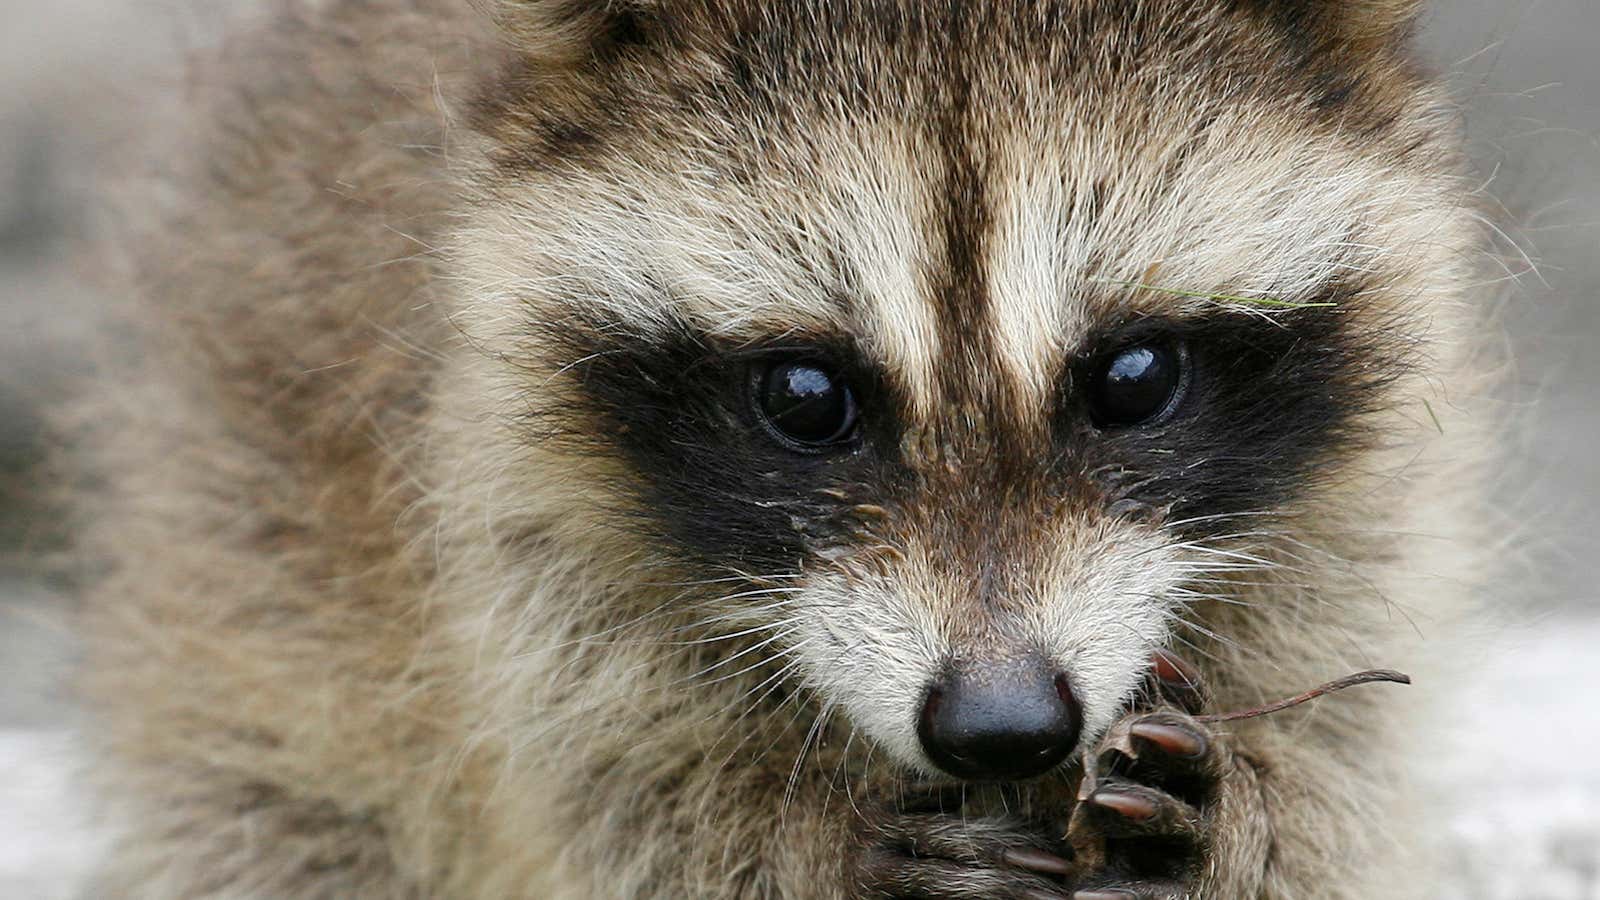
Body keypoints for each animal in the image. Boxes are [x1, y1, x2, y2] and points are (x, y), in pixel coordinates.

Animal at [81, 1, 1491, 896]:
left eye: (1133, 378)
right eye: (809, 398)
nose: (1001, 728)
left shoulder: (1357, 511)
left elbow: (1337, 751)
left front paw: (1243, 823)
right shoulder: (491, 506)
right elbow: (613, 799)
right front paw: (803, 840)